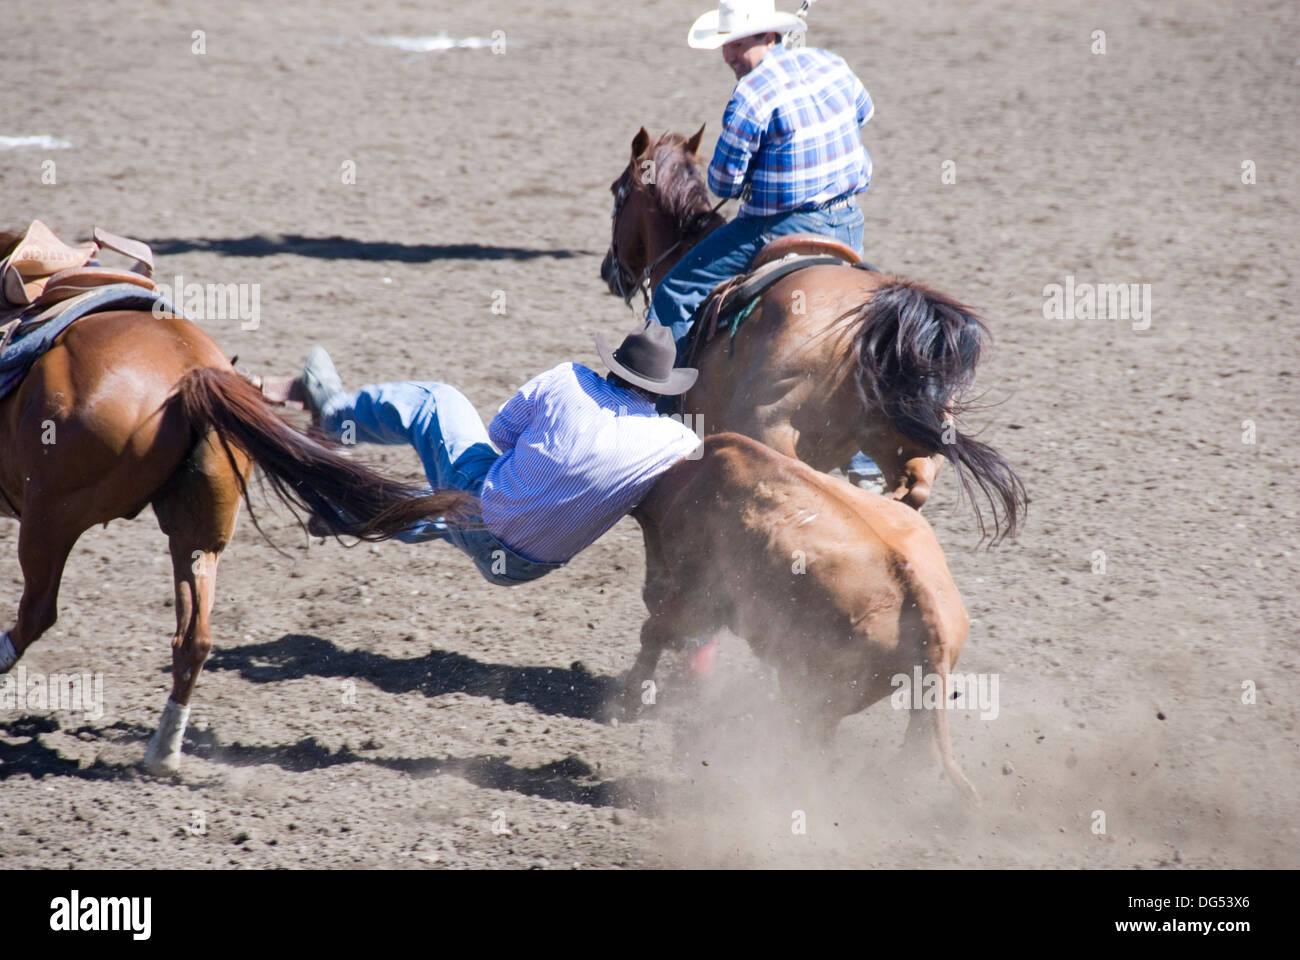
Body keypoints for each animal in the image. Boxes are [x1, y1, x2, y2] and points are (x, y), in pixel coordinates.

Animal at [0, 229, 476, 775]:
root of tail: (191, 373)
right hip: (196, 532)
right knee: (195, 639)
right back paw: (163, 751)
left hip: (51, 517)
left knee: (39, 611)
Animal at [600, 127, 1027, 542]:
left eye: (617, 192)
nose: (608, 270)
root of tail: (875, 313)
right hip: (900, 435)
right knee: (913, 486)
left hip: (769, 426)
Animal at [626, 432, 979, 802]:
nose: (651, 590)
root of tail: (920, 602)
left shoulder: (700, 598)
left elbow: (653, 631)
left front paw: (631, 696)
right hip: (917, 691)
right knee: (914, 744)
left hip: (817, 696)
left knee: (816, 747)